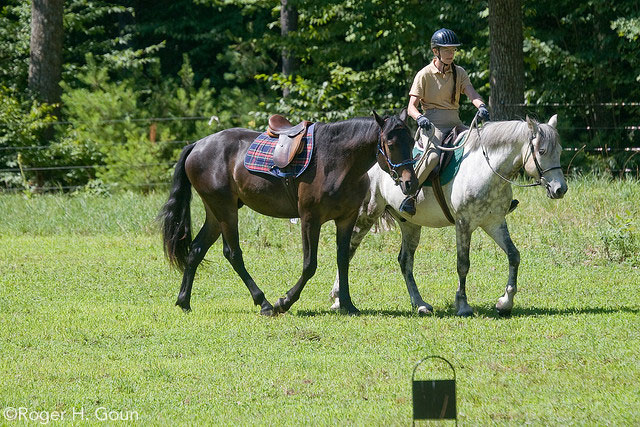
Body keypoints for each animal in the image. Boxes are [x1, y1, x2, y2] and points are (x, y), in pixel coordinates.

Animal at [332, 115, 568, 316]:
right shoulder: (464, 224)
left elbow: (514, 255)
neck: (485, 169)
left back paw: (420, 304)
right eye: (542, 151)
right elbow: (463, 264)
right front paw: (463, 305)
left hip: (410, 224)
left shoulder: (494, 222)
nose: (560, 189)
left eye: (559, 151)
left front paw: (505, 303)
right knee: (349, 250)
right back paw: (337, 298)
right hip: (368, 214)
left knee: (405, 261)